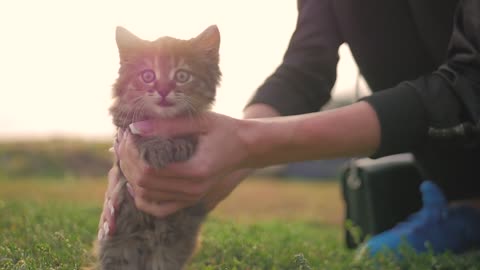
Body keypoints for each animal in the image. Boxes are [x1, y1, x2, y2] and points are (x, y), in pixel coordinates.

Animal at [100, 25, 223, 270]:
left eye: (182, 76)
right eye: (148, 75)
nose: (164, 89)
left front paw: (176, 145)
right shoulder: (124, 127)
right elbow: (138, 130)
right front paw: (156, 148)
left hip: (170, 248)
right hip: (118, 246)